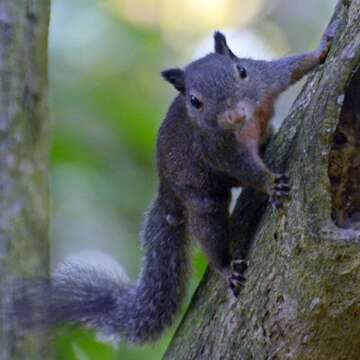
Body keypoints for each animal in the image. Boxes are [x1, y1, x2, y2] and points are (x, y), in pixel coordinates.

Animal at [11, 23, 338, 346]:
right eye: (195, 101)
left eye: (241, 71)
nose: (234, 115)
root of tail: (166, 187)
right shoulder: (217, 148)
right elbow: (247, 170)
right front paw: (270, 184)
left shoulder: (265, 80)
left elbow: (290, 68)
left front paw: (322, 48)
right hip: (200, 196)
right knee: (208, 228)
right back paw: (225, 267)